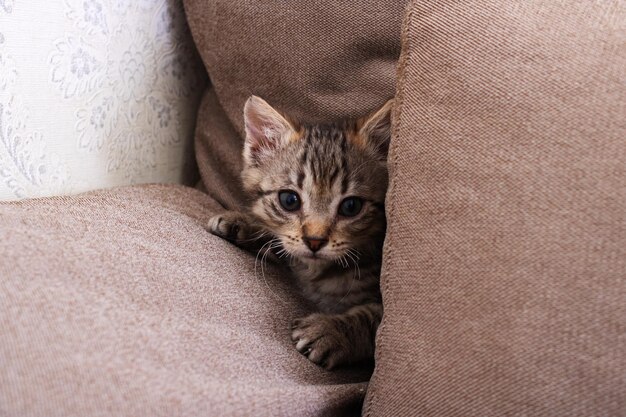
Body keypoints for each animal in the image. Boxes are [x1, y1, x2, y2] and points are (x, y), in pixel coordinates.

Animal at [207, 95, 388, 368]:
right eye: (289, 200)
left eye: (351, 206)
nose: (314, 241)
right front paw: (240, 222)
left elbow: (371, 320)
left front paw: (330, 331)